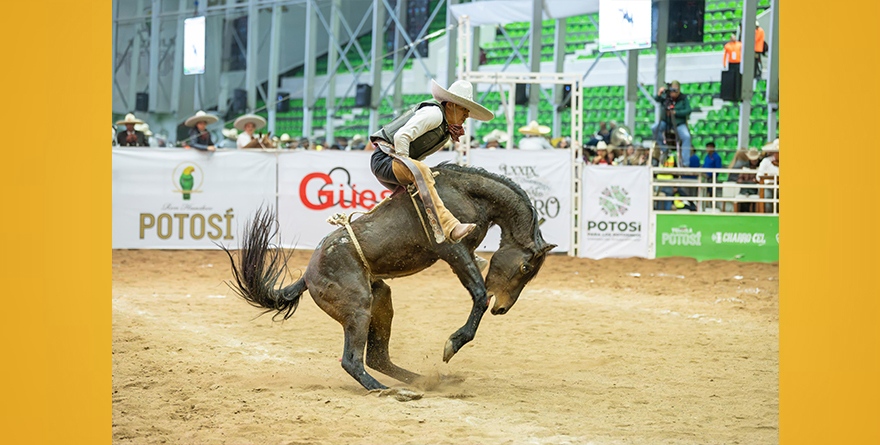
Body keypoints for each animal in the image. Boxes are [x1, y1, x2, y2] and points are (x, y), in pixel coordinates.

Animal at [227, 163, 556, 388]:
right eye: (526, 268)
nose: (503, 308)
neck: (465, 192)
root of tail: (307, 275)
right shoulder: (453, 250)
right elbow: (479, 296)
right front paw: (453, 343)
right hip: (357, 306)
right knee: (352, 361)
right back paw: (387, 390)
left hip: (379, 299)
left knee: (377, 358)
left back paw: (423, 381)